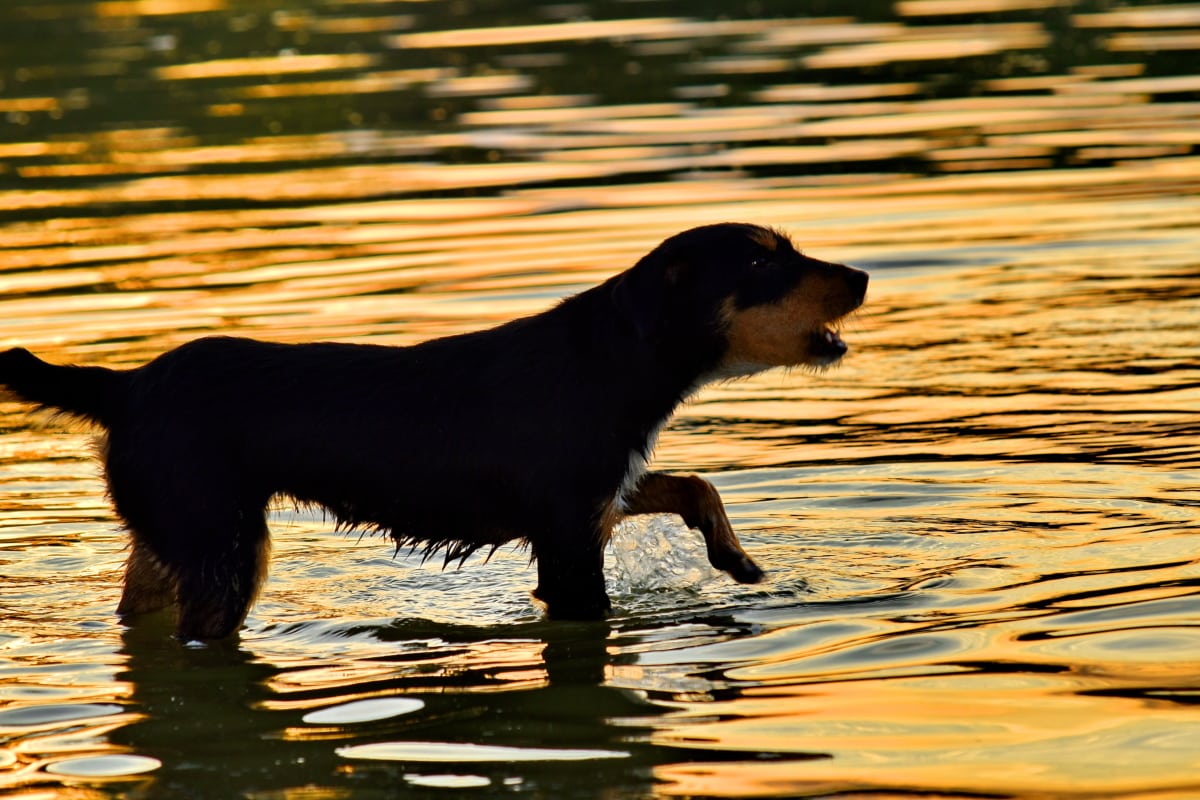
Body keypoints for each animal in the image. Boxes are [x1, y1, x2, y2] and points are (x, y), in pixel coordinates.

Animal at [0, 221, 864, 642]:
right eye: (762, 264)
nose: (860, 276)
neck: (615, 357)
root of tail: (124, 385)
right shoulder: (568, 541)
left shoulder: (600, 495)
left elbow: (694, 483)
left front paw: (736, 559)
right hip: (225, 552)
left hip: (169, 537)